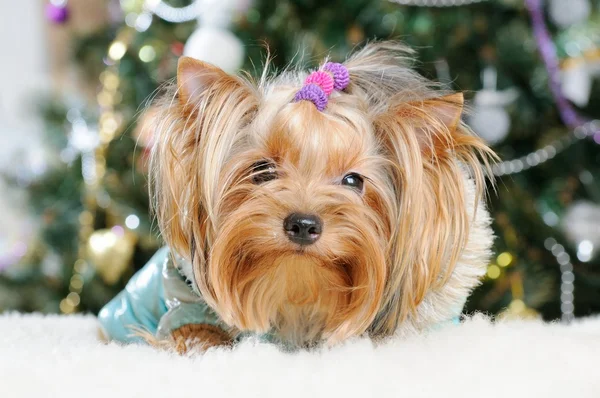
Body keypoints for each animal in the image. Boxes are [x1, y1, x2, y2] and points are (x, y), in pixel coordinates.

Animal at [98, 42, 494, 352]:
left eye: (353, 180)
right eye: (262, 171)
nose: (303, 224)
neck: (298, 289)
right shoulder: (183, 302)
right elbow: (193, 332)